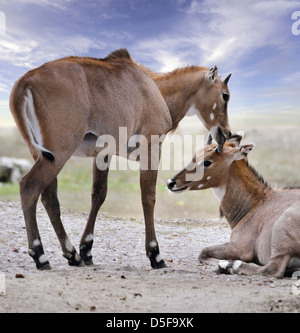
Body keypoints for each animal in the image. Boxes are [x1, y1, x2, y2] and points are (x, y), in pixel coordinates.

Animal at [8, 48, 230, 268]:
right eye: (225, 95)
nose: (226, 133)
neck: (156, 88)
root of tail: (25, 80)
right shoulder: (151, 147)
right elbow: (148, 196)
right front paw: (155, 254)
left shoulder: (103, 154)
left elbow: (98, 194)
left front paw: (86, 250)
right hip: (60, 151)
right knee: (29, 186)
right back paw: (39, 254)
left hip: (41, 153)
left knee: (49, 197)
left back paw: (71, 254)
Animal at [168, 134, 300, 276]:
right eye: (195, 155)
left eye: (207, 162)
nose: (170, 183)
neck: (256, 202)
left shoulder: (241, 247)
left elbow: (203, 252)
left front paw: (223, 264)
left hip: (281, 230)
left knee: (272, 269)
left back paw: (230, 265)